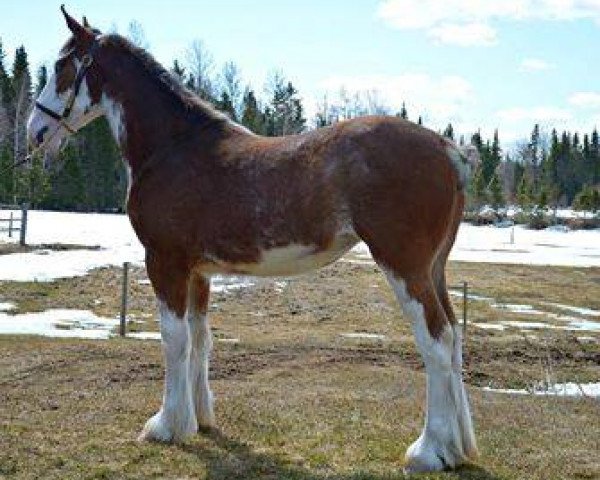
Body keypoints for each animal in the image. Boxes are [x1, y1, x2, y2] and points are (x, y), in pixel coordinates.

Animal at [27, 7, 478, 472]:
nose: (36, 130)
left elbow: (174, 339)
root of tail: (449, 150)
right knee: (456, 339)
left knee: (436, 341)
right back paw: (456, 448)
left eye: (61, 65)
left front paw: (167, 425)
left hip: (404, 265)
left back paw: (428, 450)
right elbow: (200, 338)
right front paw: (200, 418)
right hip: (434, 268)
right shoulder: (199, 271)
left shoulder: (164, 261)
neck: (172, 147)